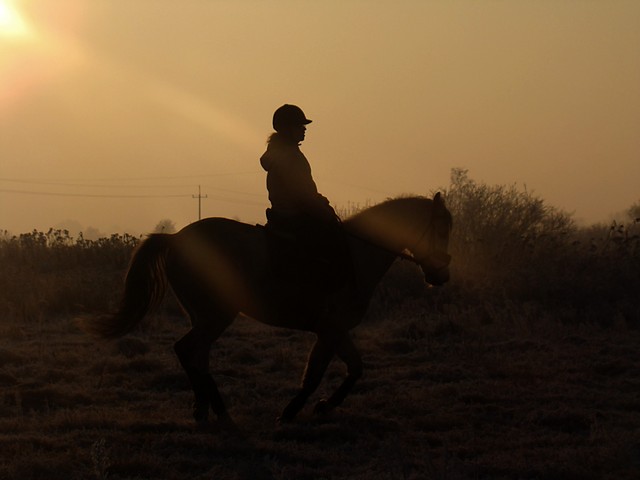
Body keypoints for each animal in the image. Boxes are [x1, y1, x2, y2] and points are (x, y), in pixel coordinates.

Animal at [82, 193, 452, 426]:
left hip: (204, 317)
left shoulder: (333, 330)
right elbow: (320, 373)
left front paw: (320, 407)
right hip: (215, 316)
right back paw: (219, 411)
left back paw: (205, 409)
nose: (441, 276)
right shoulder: (331, 328)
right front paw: (293, 411)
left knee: (196, 355)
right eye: (442, 229)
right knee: (188, 351)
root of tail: (175, 239)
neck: (356, 255)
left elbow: (349, 369)